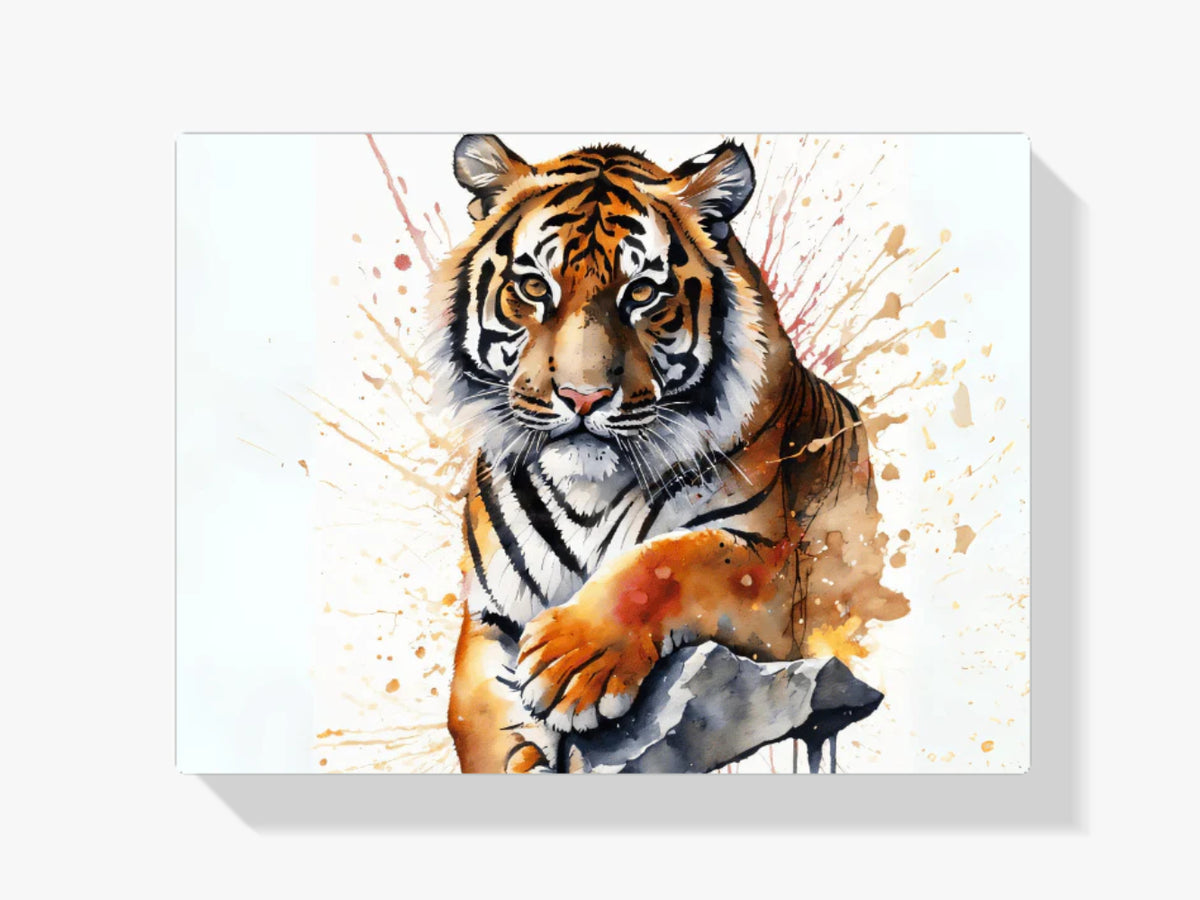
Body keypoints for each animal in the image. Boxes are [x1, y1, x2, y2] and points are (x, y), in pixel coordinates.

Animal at [429, 134, 909, 773]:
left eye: (641, 293)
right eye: (534, 288)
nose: (583, 397)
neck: (587, 491)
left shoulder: (774, 568)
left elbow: (671, 560)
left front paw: (570, 660)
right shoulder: (488, 616)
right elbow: (473, 719)